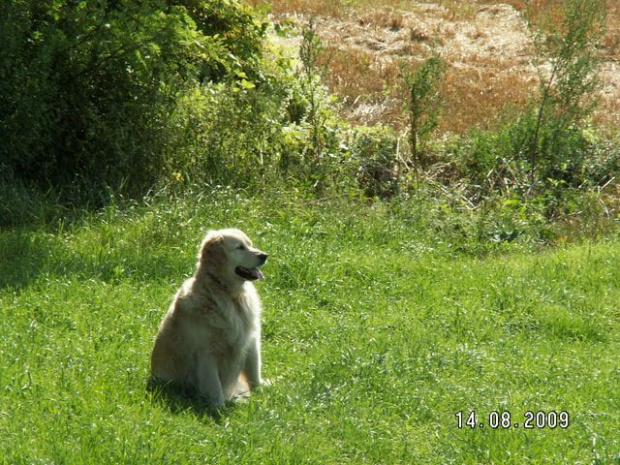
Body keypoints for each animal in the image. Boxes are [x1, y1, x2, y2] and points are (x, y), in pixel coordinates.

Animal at [151, 228, 268, 406]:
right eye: (240, 247)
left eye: (250, 244)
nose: (264, 255)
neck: (229, 295)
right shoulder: (206, 354)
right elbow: (214, 386)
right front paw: (218, 407)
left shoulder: (251, 341)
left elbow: (254, 375)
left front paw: (262, 397)